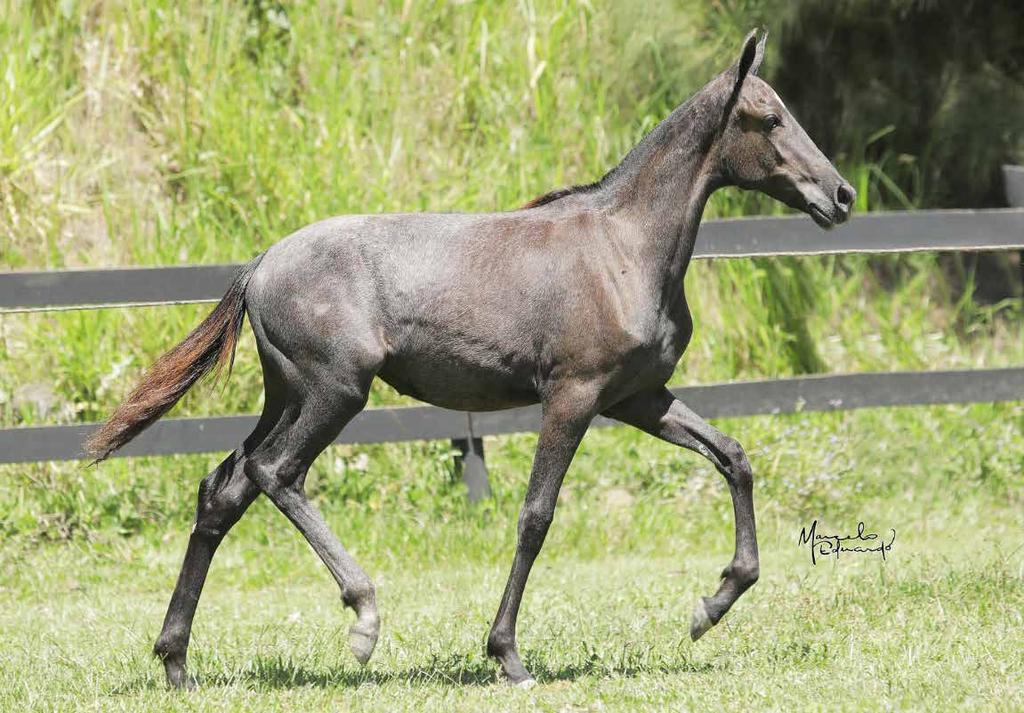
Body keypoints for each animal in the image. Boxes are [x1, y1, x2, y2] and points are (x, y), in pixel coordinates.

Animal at [88, 29, 856, 692]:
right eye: (768, 117)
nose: (842, 195)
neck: (624, 250)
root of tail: (258, 267)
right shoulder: (574, 395)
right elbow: (536, 516)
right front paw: (507, 654)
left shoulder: (638, 398)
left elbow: (734, 457)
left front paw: (711, 605)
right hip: (336, 392)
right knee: (275, 473)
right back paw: (363, 616)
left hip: (288, 395)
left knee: (223, 489)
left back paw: (176, 661)